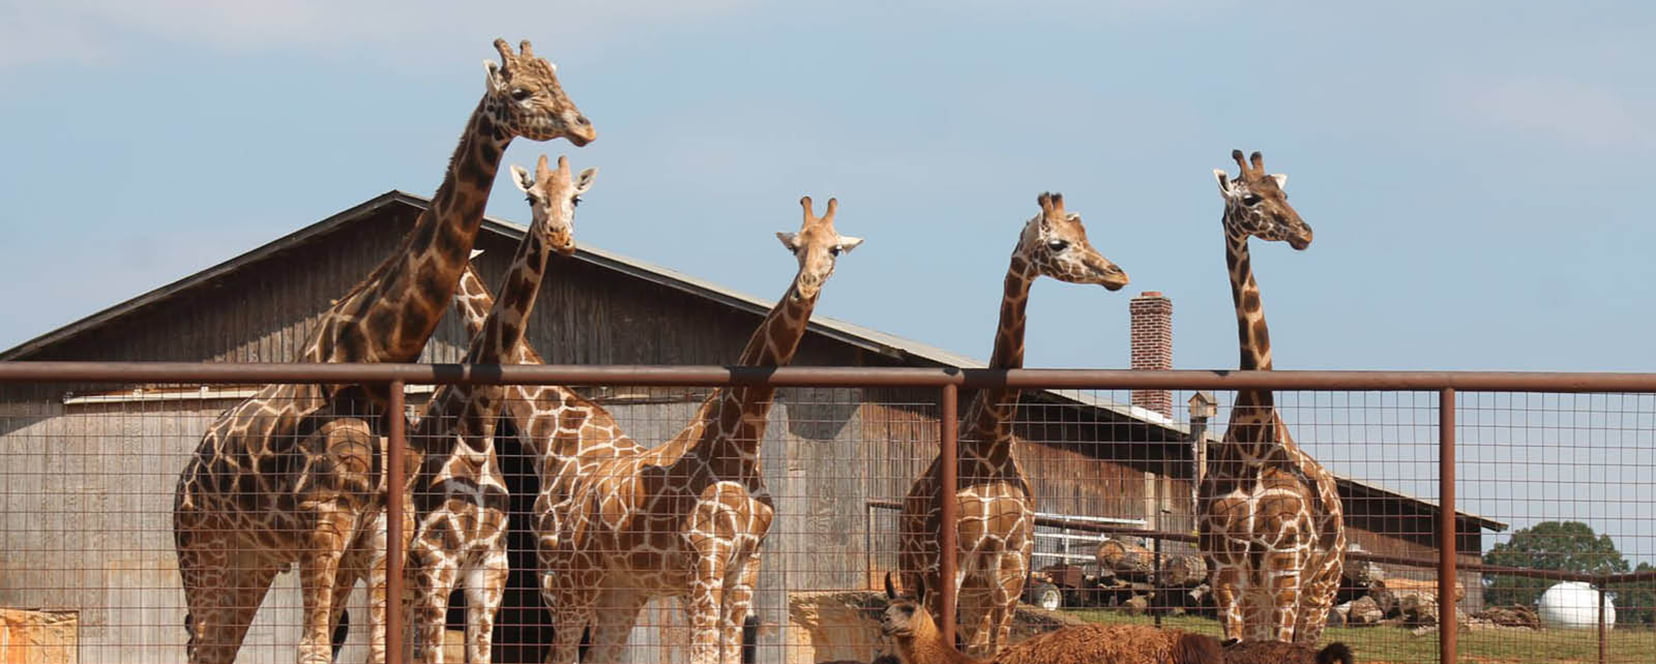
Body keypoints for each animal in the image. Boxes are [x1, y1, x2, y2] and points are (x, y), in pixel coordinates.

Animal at [404, 155, 597, 664]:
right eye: (531, 196)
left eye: (576, 198)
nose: (560, 237)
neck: (475, 434)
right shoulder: (435, 562)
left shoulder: (489, 569)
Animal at [541, 196, 863, 664]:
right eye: (796, 246)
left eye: (835, 248)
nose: (805, 285)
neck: (743, 443)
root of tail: (579, 497)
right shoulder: (706, 557)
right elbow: (703, 654)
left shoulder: (745, 564)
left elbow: (728, 653)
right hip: (577, 576)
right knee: (560, 653)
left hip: (624, 588)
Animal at [898, 192, 1128, 658]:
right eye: (1058, 243)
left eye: (1086, 236)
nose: (1119, 274)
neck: (992, 446)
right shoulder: (948, 566)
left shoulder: (1010, 572)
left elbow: (995, 651)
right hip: (914, 571)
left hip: (977, 595)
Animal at [1198, 149, 1345, 644]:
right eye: (1250, 198)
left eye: (1284, 193)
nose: (1305, 232)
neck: (1254, 451)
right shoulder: (1225, 570)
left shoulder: (1286, 563)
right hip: (1261, 592)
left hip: (1323, 583)